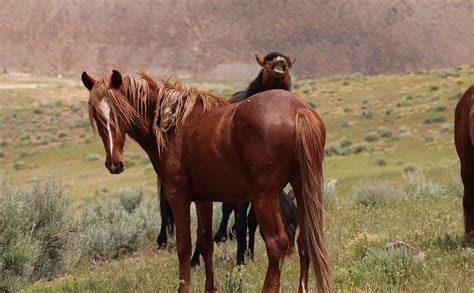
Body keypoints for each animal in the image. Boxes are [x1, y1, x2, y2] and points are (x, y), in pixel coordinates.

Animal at [81, 69, 334, 290]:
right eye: (96, 115)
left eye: (119, 111)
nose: (114, 164)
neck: (173, 125)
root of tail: (298, 110)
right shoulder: (204, 199)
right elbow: (206, 244)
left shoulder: (178, 196)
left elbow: (184, 246)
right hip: (302, 189)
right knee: (305, 241)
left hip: (265, 197)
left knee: (277, 244)